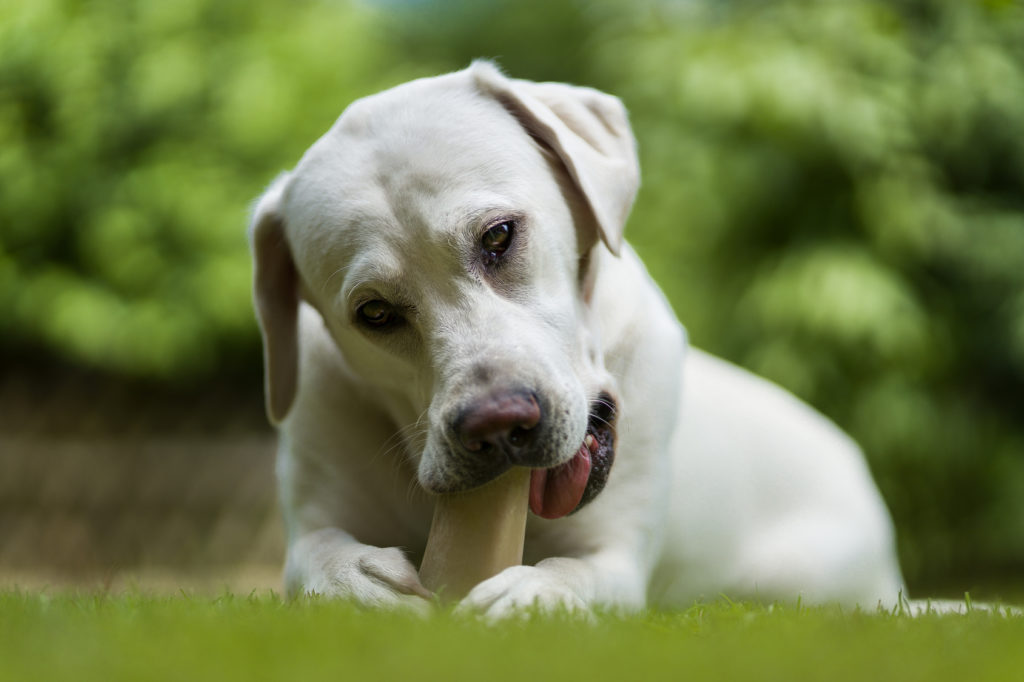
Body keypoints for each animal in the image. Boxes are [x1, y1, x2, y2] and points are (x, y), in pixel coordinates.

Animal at [247, 62, 905, 614]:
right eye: (375, 312)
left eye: (498, 236)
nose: (498, 425)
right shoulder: (312, 509)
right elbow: (316, 557)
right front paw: (360, 584)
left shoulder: (615, 555)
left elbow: (578, 575)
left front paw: (530, 596)